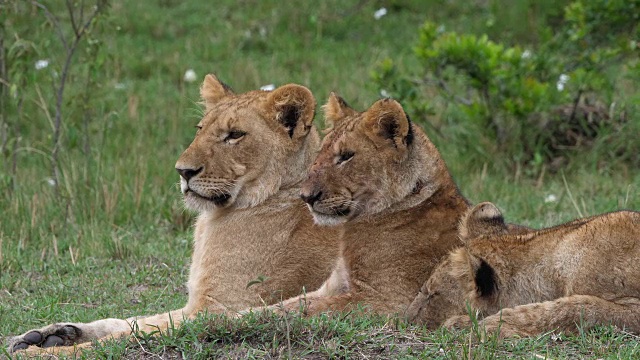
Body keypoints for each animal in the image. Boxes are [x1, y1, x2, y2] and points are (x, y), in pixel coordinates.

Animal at [8, 74, 340, 352]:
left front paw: (48, 351)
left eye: (235, 135)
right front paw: (49, 334)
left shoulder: (217, 307)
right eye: (200, 129)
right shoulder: (197, 305)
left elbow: (133, 333)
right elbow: (130, 320)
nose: (183, 171)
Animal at [249, 93, 470, 318]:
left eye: (346, 156)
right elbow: (281, 305)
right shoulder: (334, 285)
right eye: (320, 153)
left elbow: (310, 309)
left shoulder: (389, 302)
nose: (306, 197)